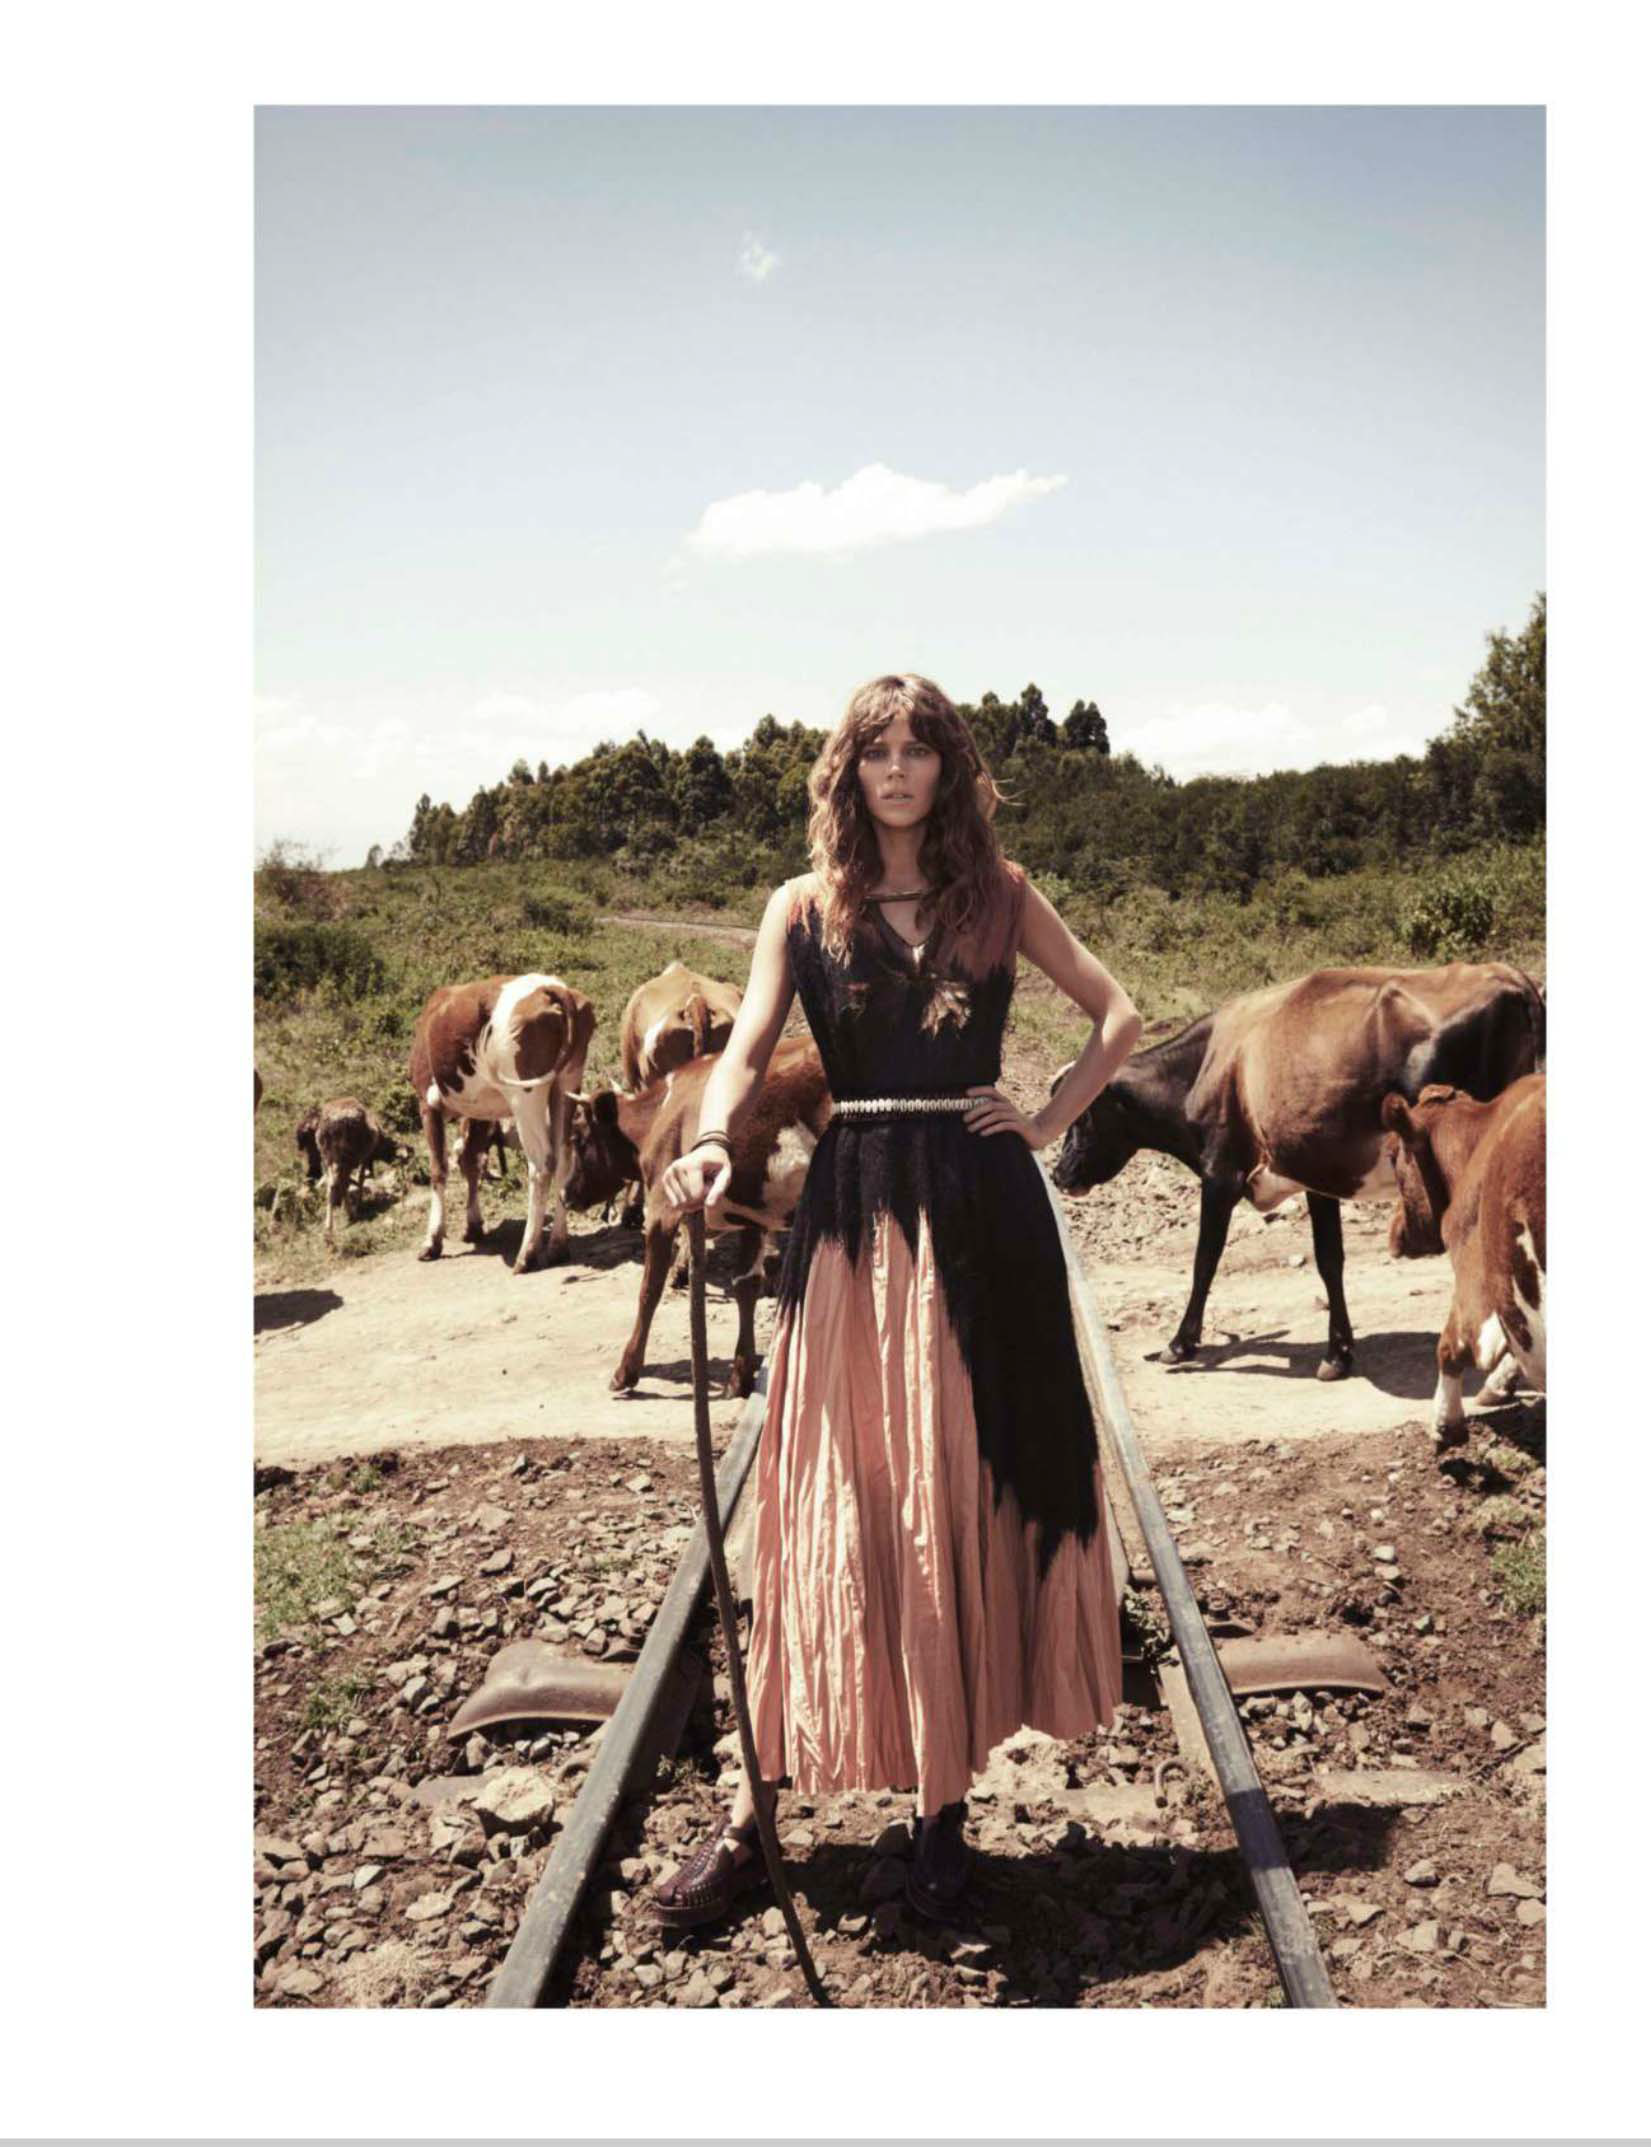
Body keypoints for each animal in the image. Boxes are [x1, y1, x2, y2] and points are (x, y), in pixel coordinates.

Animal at [295, 1097, 404, 1246]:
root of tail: (329, 1126)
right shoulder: (365, 1157)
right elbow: (361, 1178)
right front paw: (359, 1204)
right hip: (344, 1156)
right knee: (335, 1184)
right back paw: (342, 1219)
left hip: (327, 1156)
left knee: (330, 1184)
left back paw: (331, 1224)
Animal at [409, 974, 596, 1274]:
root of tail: (551, 987)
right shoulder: (480, 1112)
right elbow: (470, 1160)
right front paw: (473, 1225)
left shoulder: (427, 1102)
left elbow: (439, 1169)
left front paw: (432, 1241)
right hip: (566, 1083)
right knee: (564, 1158)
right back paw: (557, 1246)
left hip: (525, 1095)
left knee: (541, 1165)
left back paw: (526, 1255)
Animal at [563, 1036, 831, 1396]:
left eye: (578, 1139)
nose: (565, 1195)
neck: (659, 1115)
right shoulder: (754, 1216)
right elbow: (746, 1285)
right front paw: (740, 1375)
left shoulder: (662, 1209)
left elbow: (649, 1290)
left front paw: (625, 1371)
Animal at [1050, 962, 1545, 1380]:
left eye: (1083, 1113)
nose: (1059, 1175)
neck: (1207, 1066)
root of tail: (1509, 976)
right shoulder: (1317, 1177)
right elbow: (1329, 1260)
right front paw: (1338, 1353)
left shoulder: (1221, 1175)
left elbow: (1204, 1261)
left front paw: (1180, 1344)